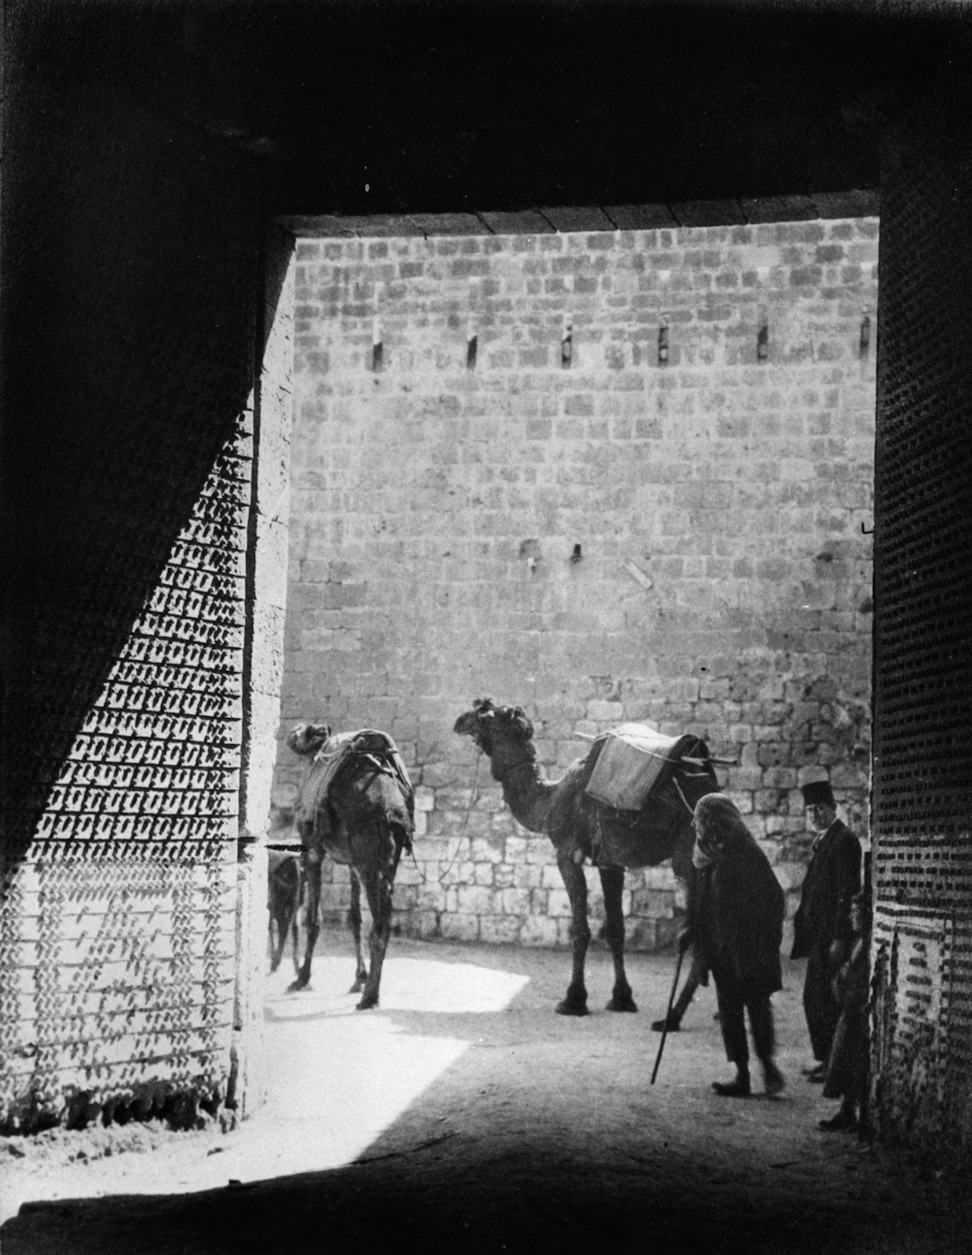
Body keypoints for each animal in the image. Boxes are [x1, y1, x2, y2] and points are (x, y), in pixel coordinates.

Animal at [284, 727, 413, 1009]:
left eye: (305, 732)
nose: (292, 732)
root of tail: (389, 809)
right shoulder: (353, 862)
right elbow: (355, 917)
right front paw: (358, 978)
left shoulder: (313, 851)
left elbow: (313, 918)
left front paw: (303, 977)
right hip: (386, 861)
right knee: (382, 917)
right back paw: (369, 990)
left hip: (370, 862)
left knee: (381, 923)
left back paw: (370, 997)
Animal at [451, 702, 717, 1014]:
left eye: (485, 715)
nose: (460, 721)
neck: (551, 799)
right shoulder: (610, 861)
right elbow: (616, 929)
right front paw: (622, 998)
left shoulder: (568, 853)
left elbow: (580, 930)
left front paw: (573, 999)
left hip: (689, 858)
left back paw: (678, 1013)